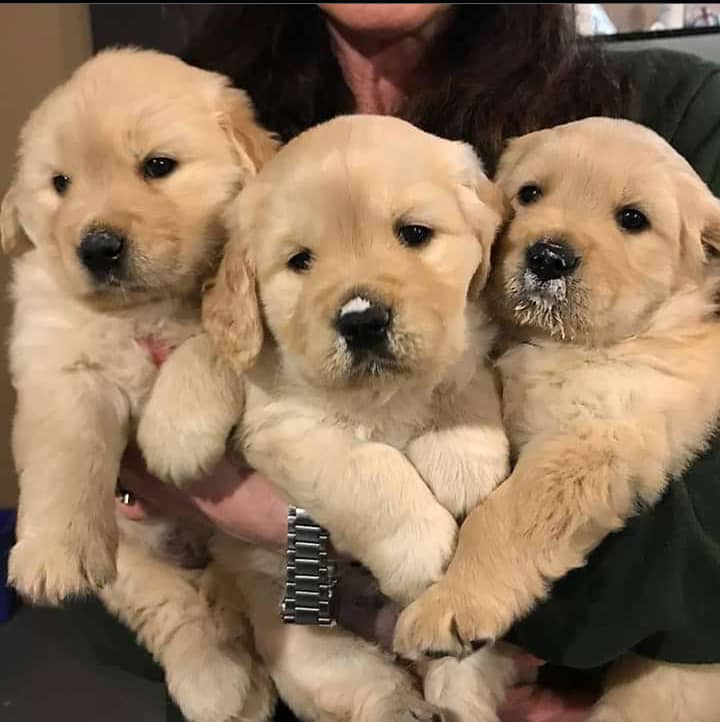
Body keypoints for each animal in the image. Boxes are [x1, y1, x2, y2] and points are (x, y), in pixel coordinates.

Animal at [2, 49, 278, 720]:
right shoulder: (62, 364)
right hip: (130, 558)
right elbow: (66, 455)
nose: (97, 247)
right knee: (181, 614)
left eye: (158, 166)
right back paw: (219, 685)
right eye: (60, 184)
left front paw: (174, 436)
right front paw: (50, 555)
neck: (140, 310)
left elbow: (204, 345)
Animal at [202, 116, 516, 720]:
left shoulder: (465, 340)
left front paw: (461, 462)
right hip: (309, 649)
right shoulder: (284, 428)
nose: (362, 320)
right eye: (301, 261)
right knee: (374, 691)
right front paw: (422, 545)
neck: (381, 396)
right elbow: (370, 470)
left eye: (414, 233)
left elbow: (457, 378)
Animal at [396, 118, 720, 720]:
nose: (548, 257)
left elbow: (501, 518)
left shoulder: (591, 439)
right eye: (529, 194)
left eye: (633, 219)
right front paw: (460, 687)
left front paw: (451, 604)